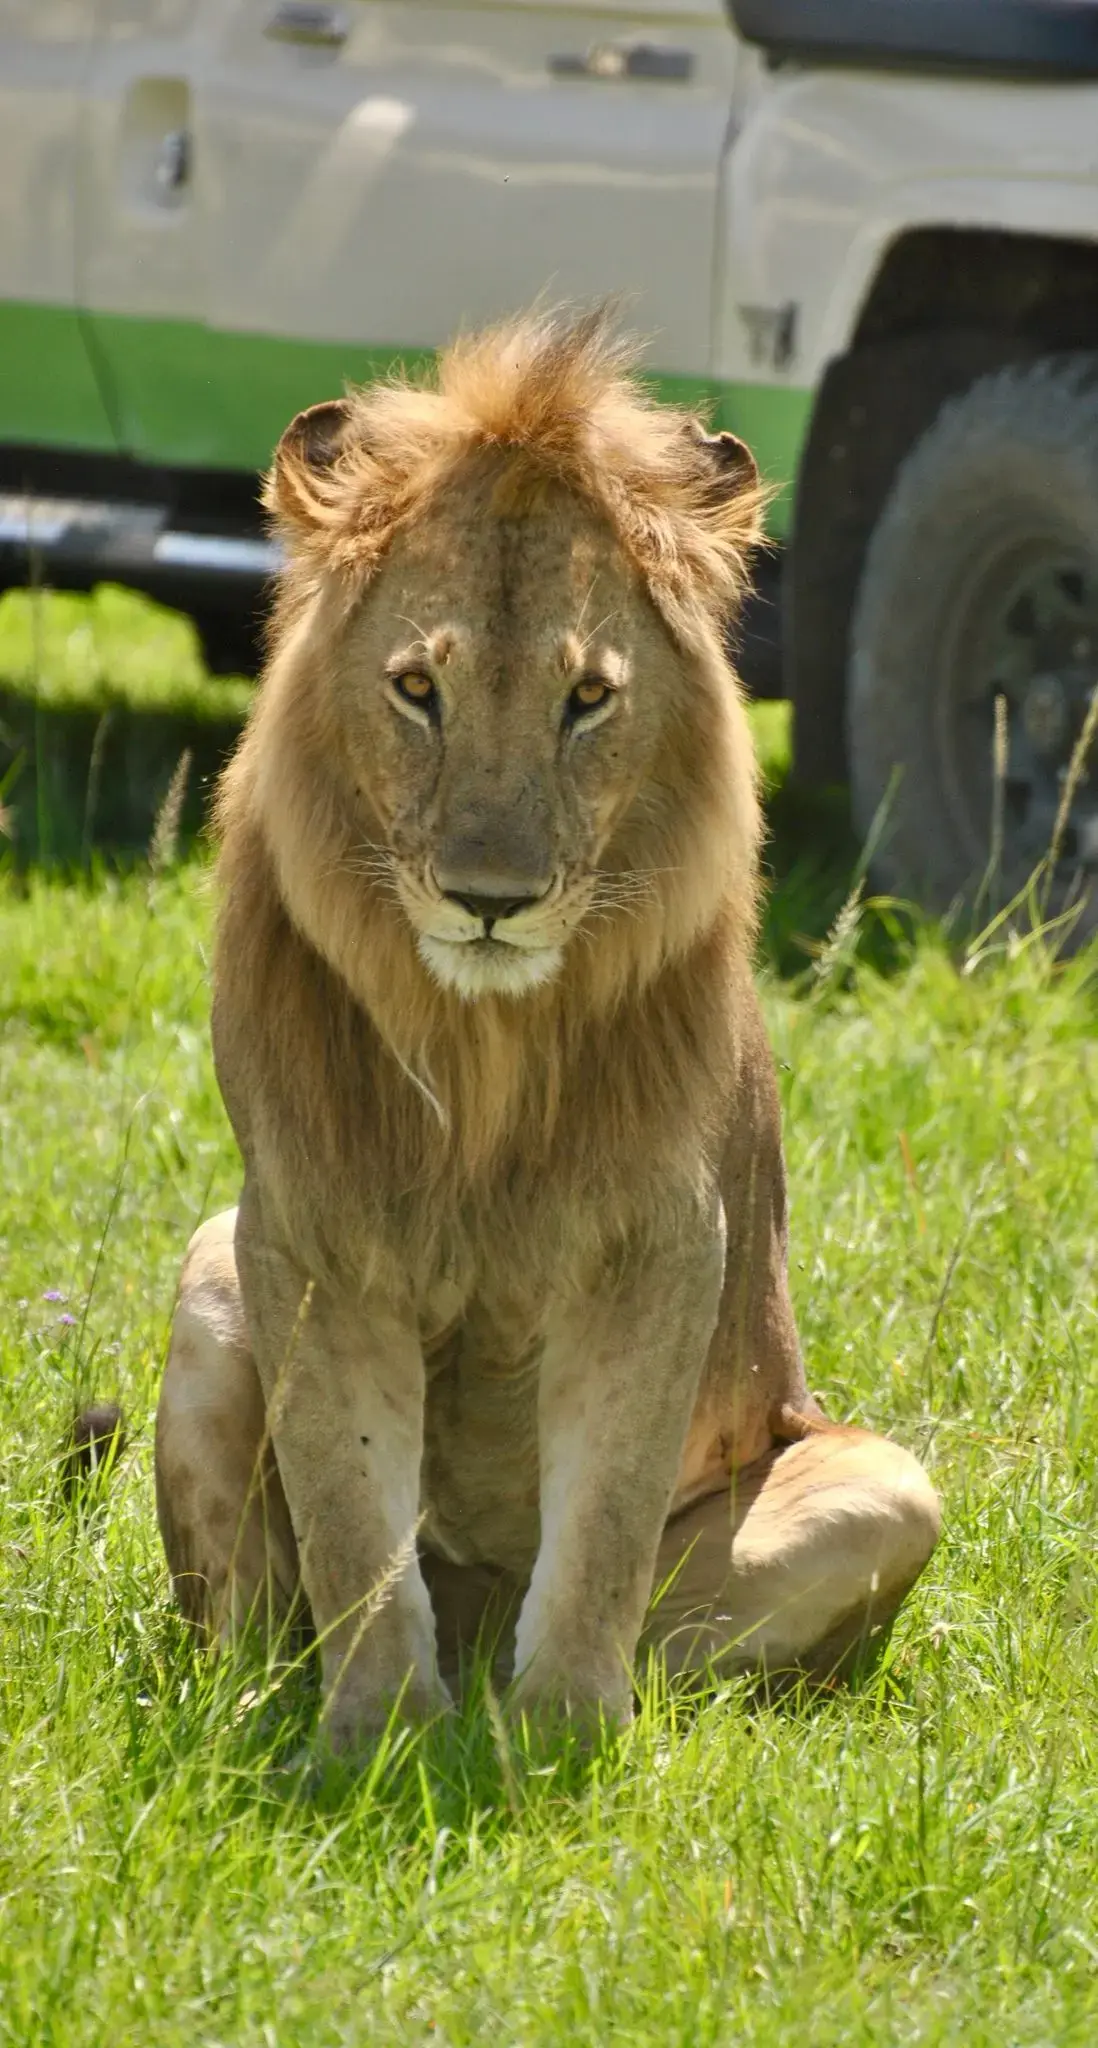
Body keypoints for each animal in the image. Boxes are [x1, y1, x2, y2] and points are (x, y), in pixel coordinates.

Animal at [155, 307, 940, 1750]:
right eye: (417, 688)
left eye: (588, 699)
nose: (489, 899)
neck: (484, 1054)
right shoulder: (308, 1234)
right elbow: (353, 1523)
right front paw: (377, 1743)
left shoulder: (660, 1239)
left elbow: (605, 1525)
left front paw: (559, 1743)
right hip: (209, 1267)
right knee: (250, 1621)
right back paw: (285, 1709)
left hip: (884, 1486)